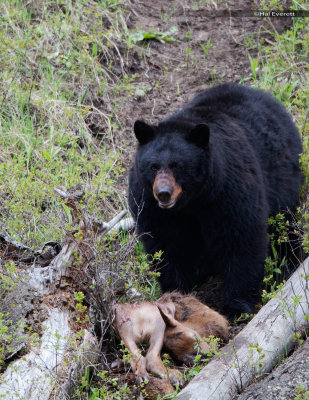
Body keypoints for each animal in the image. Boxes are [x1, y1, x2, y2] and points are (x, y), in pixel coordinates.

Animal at [127, 84, 300, 316]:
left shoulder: (229, 190)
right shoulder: (150, 205)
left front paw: (236, 305)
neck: (191, 202)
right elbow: (165, 246)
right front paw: (176, 292)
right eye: (153, 166)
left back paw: (290, 260)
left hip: (283, 179)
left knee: (286, 221)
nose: (163, 193)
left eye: (177, 165)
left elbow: (242, 238)